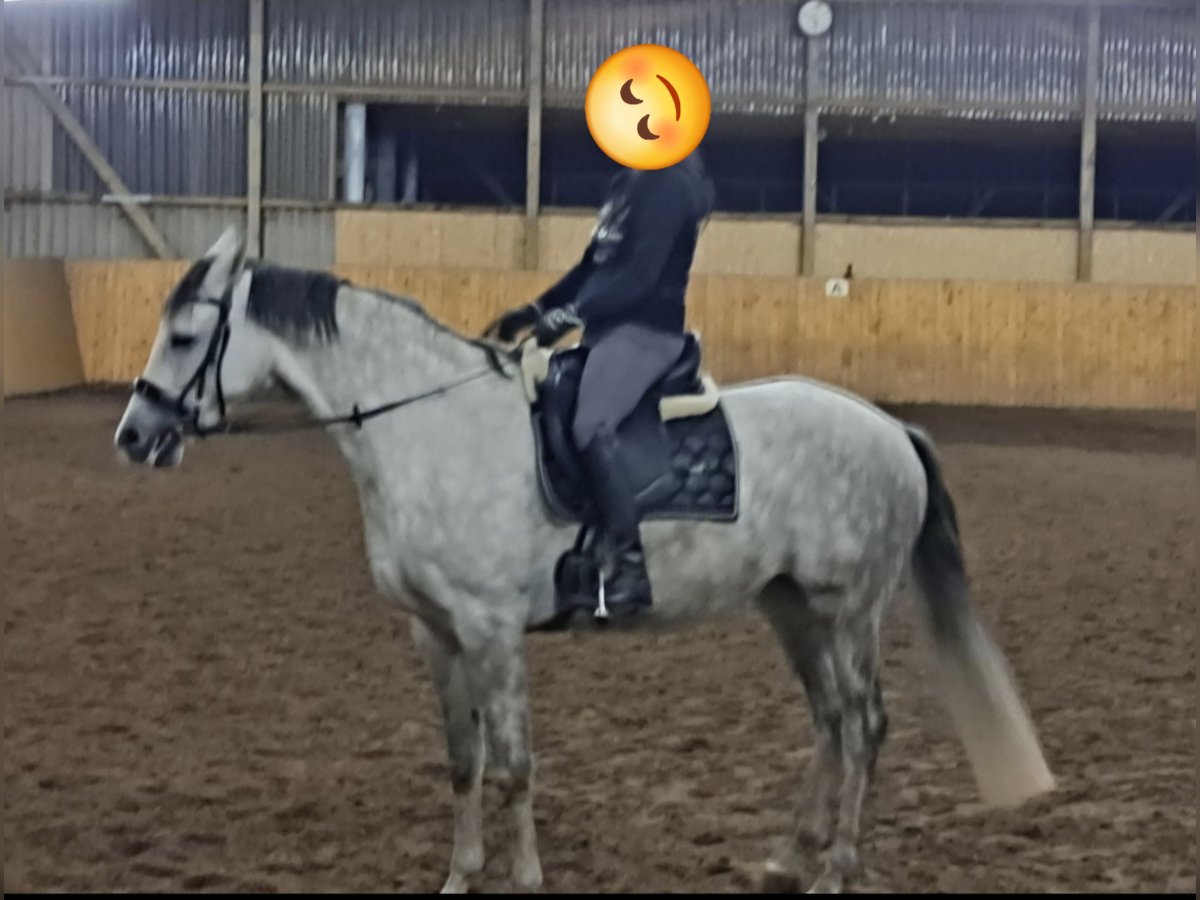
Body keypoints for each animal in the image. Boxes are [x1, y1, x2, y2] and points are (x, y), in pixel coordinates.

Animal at [114, 228, 1054, 893]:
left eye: (187, 334)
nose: (134, 435)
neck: (428, 426)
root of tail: (889, 426)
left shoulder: (491, 630)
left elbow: (514, 766)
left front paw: (525, 878)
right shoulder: (435, 633)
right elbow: (463, 762)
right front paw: (460, 876)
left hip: (849, 608)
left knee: (864, 725)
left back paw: (836, 870)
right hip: (791, 606)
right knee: (829, 720)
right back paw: (790, 859)